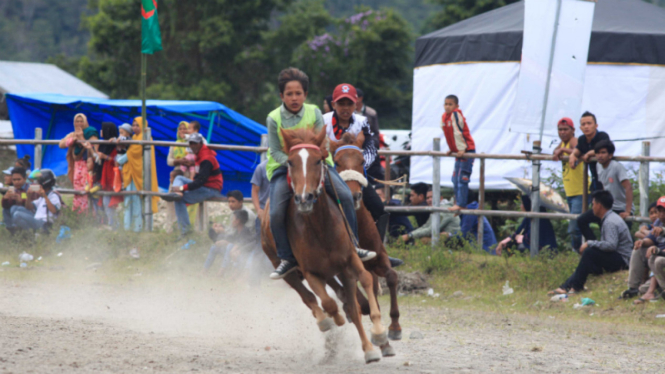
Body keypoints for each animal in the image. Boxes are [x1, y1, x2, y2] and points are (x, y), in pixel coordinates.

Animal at [260, 127, 384, 364]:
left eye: (319, 160)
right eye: (290, 162)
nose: (305, 198)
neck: (320, 228)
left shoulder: (349, 261)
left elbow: (364, 284)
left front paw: (374, 340)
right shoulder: (310, 272)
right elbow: (327, 303)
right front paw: (336, 318)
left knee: (346, 297)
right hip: (283, 267)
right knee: (307, 296)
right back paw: (325, 320)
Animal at [330, 131, 402, 348]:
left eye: (362, 160)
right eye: (337, 162)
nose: (354, 196)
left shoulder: (379, 259)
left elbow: (392, 277)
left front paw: (395, 326)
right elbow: (361, 300)